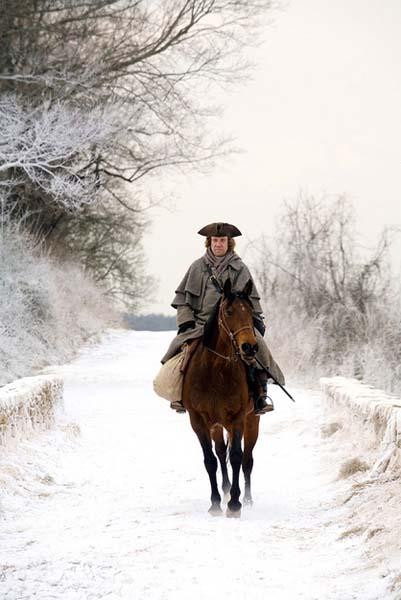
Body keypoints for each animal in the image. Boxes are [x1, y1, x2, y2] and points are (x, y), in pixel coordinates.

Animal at [181, 276, 260, 516]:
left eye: (251, 312)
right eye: (229, 311)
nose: (249, 347)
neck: (216, 370)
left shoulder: (238, 418)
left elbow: (236, 457)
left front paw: (235, 504)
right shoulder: (198, 420)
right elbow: (210, 460)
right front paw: (216, 502)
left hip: (252, 421)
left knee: (247, 459)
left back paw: (248, 498)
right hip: (216, 424)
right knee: (220, 452)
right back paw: (224, 491)